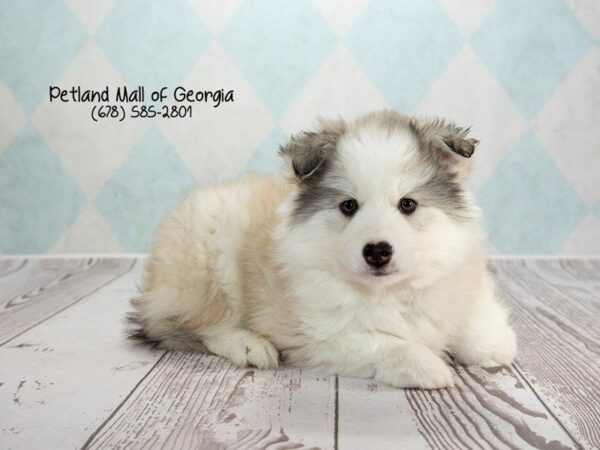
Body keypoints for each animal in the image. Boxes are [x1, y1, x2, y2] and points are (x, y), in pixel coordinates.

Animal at [129, 110, 516, 390]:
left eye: (407, 204)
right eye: (349, 206)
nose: (377, 251)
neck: (388, 292)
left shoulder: (457, 276)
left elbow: (470, 317)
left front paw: (496, 344)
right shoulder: (321, 336)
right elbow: (387, 342)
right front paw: (427, 366)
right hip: (210, 255)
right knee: (201, 323)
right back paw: (249, 345)